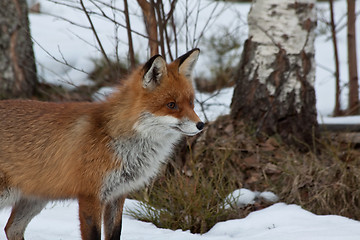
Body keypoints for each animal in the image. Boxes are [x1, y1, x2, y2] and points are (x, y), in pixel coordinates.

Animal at [0, 49, 202, 240]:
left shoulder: (117, 195)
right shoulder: (91, 196)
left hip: (35, 199)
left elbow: (114, 234)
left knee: (12, 229)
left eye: (191, 103)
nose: (201, 125)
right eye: (171, 105)